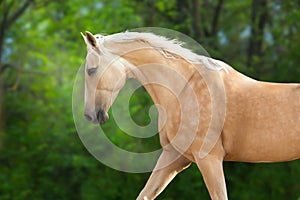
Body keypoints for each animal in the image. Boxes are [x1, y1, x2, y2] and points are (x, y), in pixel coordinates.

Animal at [81, 30, 300, 200]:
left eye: (91, 70)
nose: (89, 115)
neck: (184, 88)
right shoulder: (173, 156)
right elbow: (145, 194)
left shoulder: (209, 160)